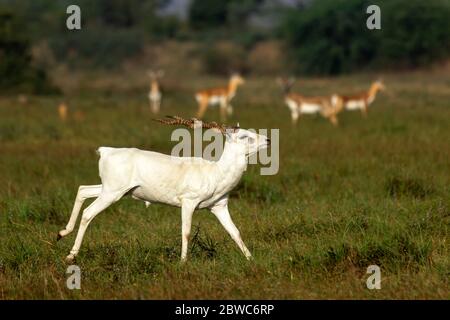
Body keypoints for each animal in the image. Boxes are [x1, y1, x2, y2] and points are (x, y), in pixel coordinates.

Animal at [59, 116, 270, 262]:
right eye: (244, 136)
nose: (268, 139)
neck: (215, 173)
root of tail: (106, 151)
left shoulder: (219, 206)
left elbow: (235, 232)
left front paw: (251, 259)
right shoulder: (188, 203)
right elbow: (186, 232)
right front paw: (183, 262)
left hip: (114, 190)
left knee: (82, 190)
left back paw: (62, 233)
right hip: (112, 193)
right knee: (88, 213)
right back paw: (70, 256)